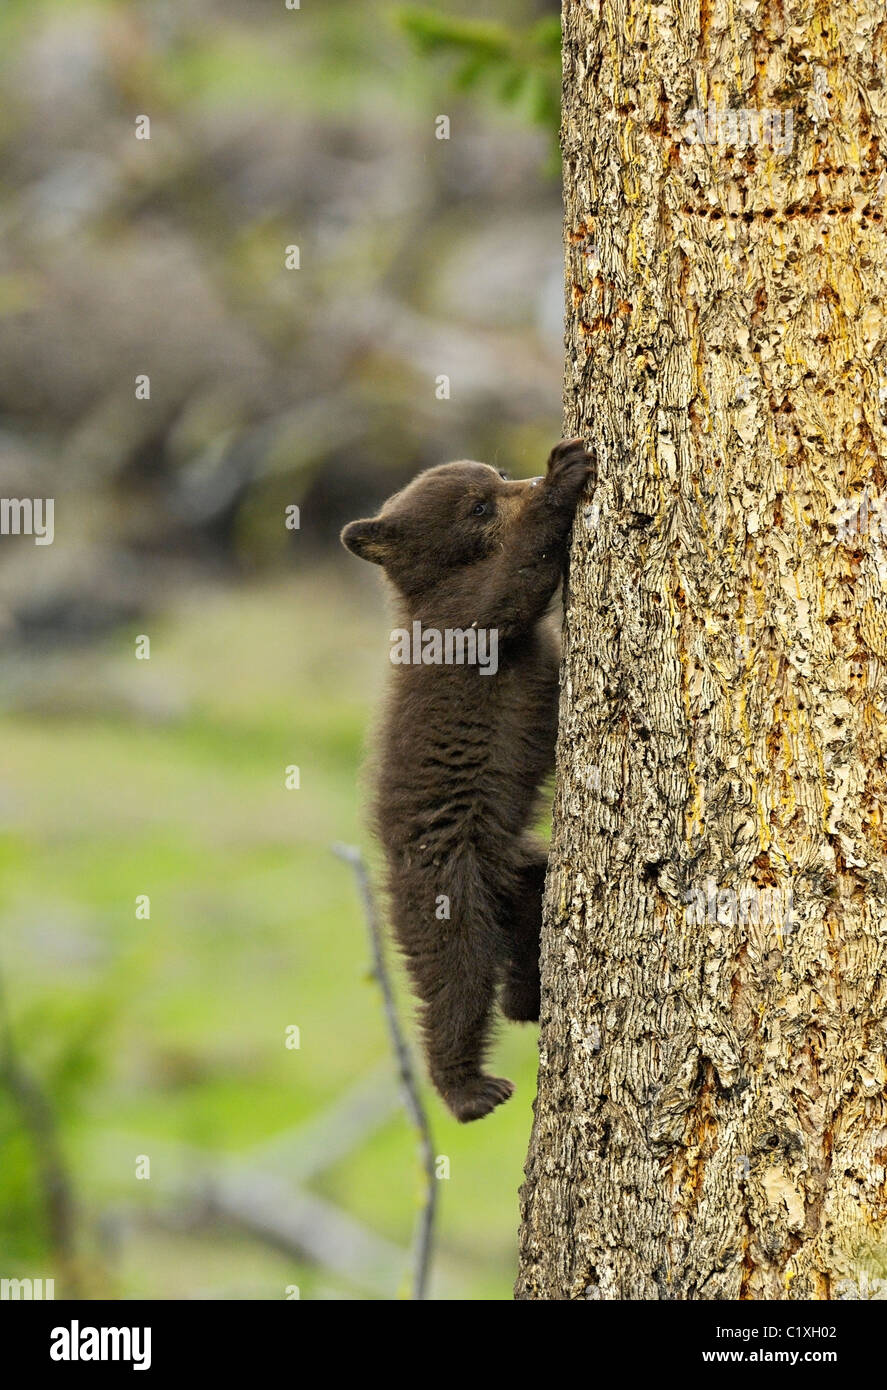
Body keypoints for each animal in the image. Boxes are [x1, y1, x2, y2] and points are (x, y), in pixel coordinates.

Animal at [341, 438, 594, 1121]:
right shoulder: (459, 624)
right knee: (456, 978)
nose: (524, 479)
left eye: (498, 474)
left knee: (527, 915)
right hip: (446, 887)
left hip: (514, 867)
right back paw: (468, 1088)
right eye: (478, 505)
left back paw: (526, 997)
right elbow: (508, 588)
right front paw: (566, 473)